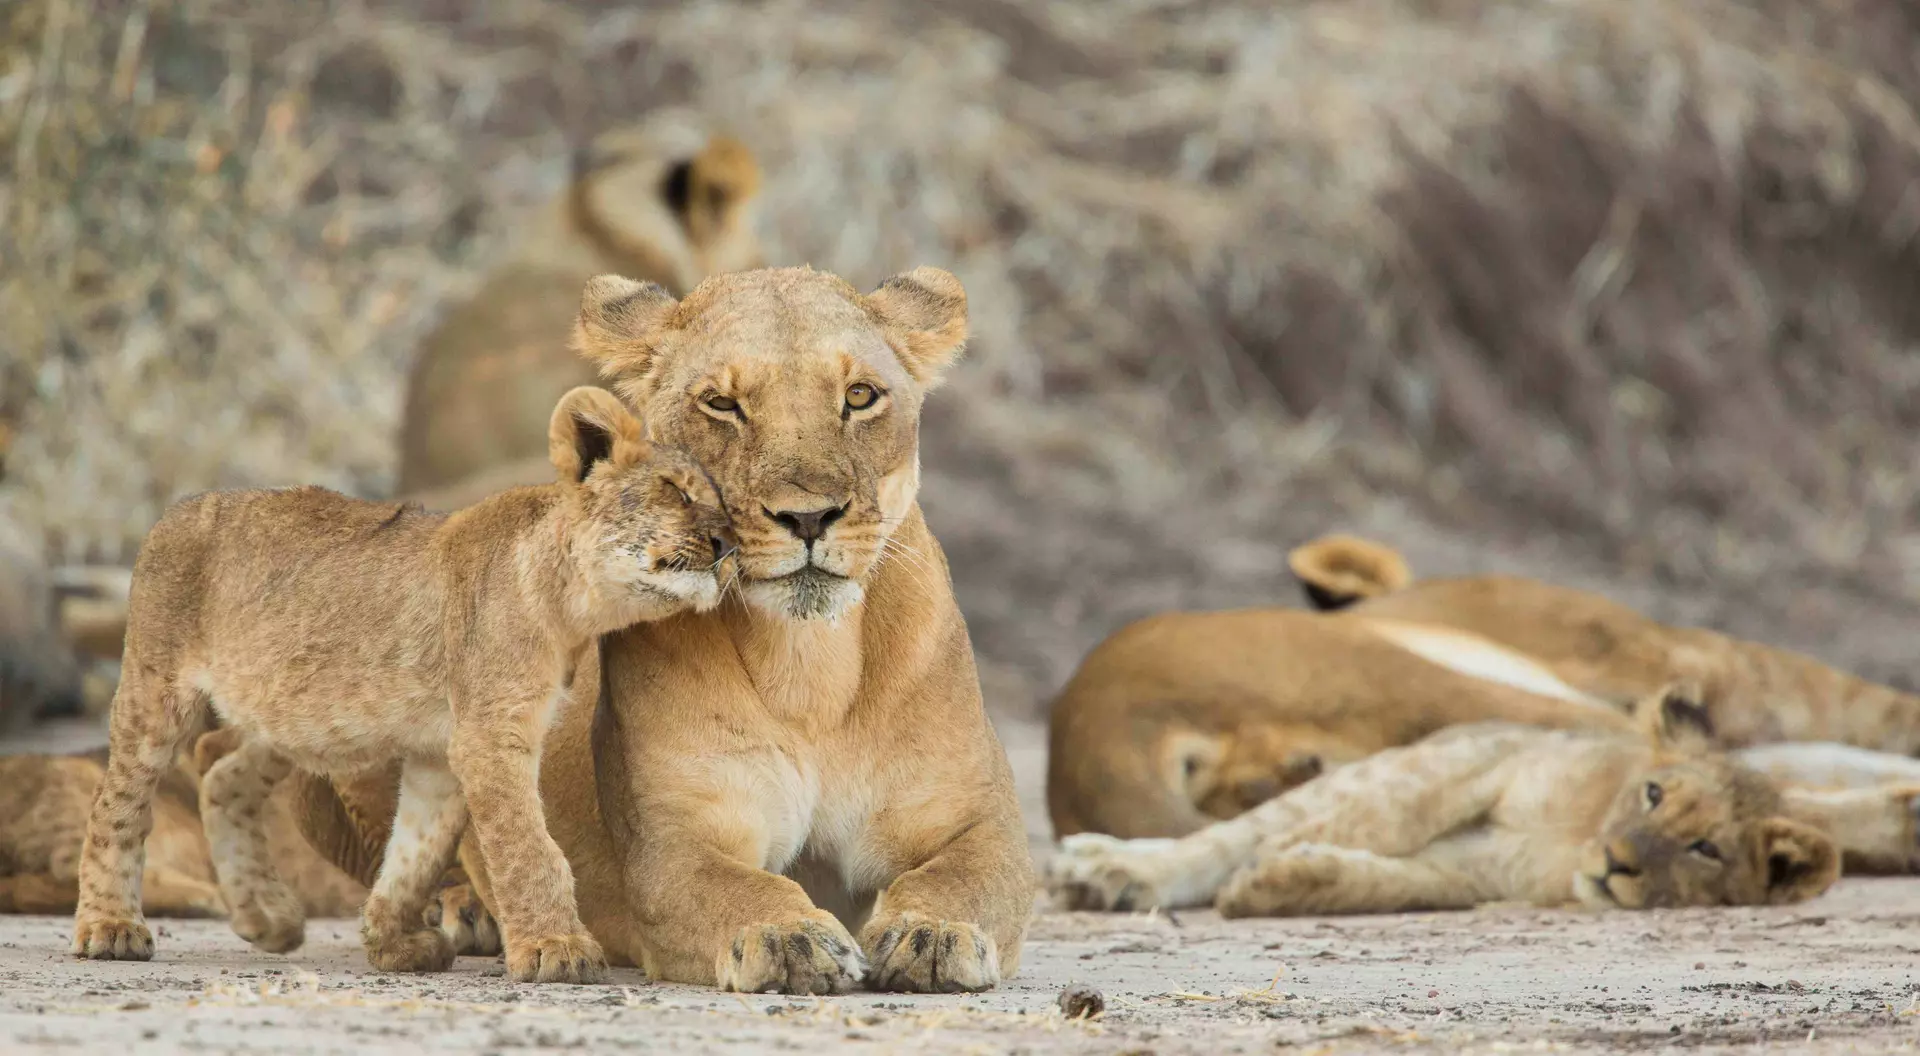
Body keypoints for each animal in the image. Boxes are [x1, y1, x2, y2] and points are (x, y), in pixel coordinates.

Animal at [71, 387, 735, 986]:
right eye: (676, 490)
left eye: (723, 505)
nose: (728, 543)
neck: (572, 603)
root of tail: (177, 509)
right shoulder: (489, 737)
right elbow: (528, 848)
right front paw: (557, 949)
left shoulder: (439, 751)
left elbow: (414, 854)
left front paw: (394, 944)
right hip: (155, 691)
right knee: (116, 804)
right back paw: (110, 928)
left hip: (285, 716)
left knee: (221, 772)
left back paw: (267, 918)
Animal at [293, 266, 1037, 995]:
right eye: (721, 404)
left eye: (860, 396)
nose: (808, 517)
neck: (810, 666)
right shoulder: (672, 844)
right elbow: (741, 888)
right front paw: (789, 936)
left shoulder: (979, 821)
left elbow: (963, 877)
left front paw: (931, 933)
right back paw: (465, 911)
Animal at [1046, 685, 1920, 918]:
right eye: (1653, 793)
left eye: (1706, 849)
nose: (1618, 864)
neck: (1574, 839)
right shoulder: (1478, 762)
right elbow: (1381, 817)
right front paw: (1275, 860)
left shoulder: (1479, 870)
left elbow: (1395, 881)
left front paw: (1284, 881)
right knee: (1212, 838)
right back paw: (1104, 870)